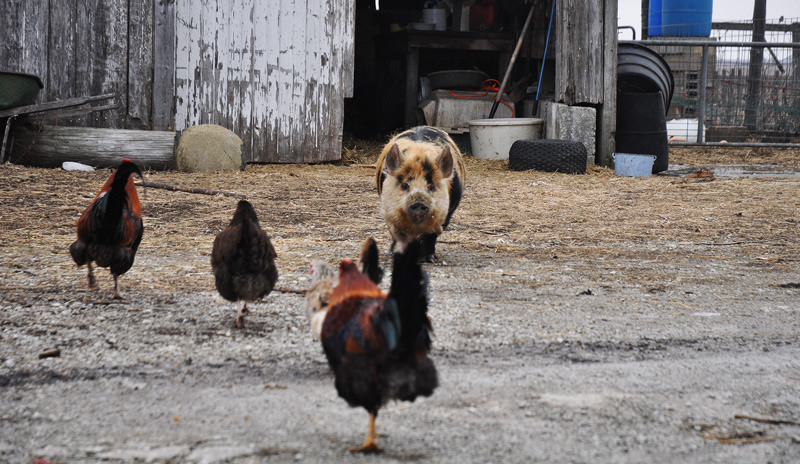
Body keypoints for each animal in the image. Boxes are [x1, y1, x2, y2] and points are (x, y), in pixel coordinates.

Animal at [375, 126, 466, 262]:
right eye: (405, 185)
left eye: (431, 186)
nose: (418, 201)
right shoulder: (389, 212)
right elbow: (397, 234)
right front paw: (397, 254)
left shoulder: (446, 212)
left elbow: (431, 235)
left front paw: (428, 258)